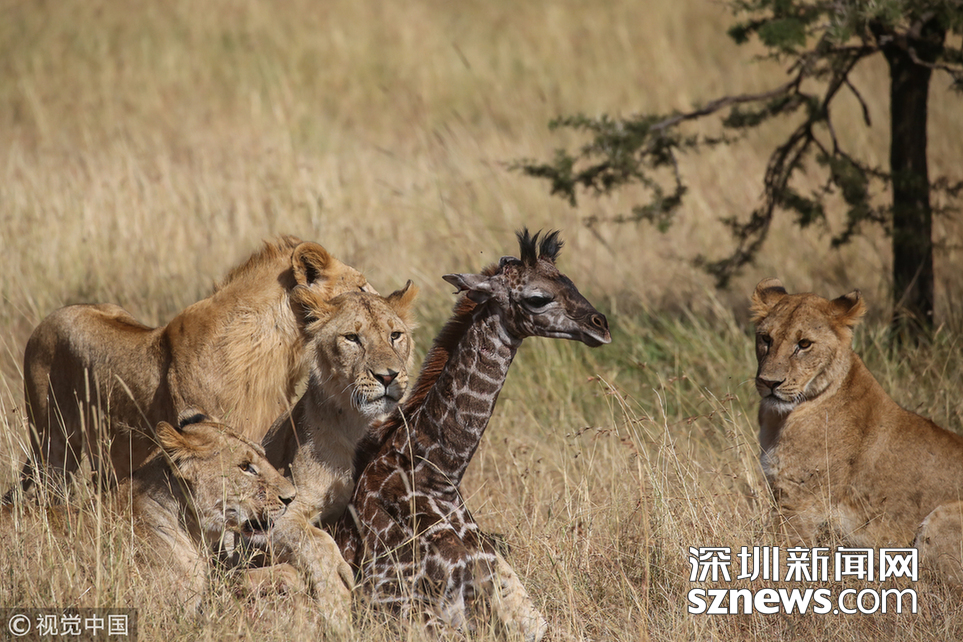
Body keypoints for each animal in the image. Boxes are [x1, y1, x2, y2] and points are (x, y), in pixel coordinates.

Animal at [257, 282, 418, 598]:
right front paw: (337, 582)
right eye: (352, 338)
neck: (358, 425)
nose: (388, 376)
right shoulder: (280, 510)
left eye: (395, 335)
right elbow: (315, 539)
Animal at [751, 278, 963, 583]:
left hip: (942, 515)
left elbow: (780, 555)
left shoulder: (801, 504)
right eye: (766, 339)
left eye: (804, 344)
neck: (780, 418)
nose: (769, 383)